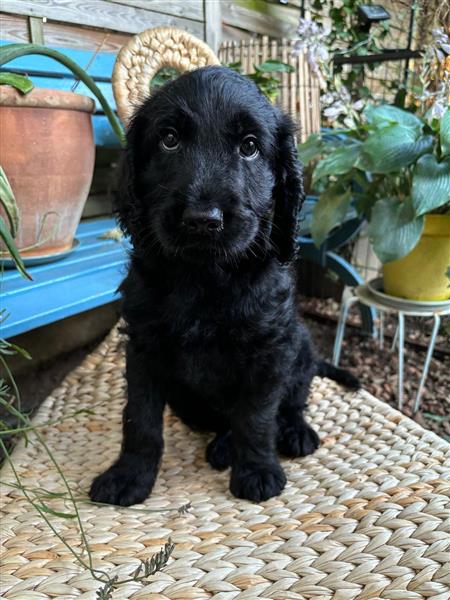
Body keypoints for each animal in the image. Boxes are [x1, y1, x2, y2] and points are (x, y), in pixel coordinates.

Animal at [89, 65, 358, 506]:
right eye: (169, 139)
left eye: (249, 147)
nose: (203, 220)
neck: (206, 276)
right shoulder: (144, 347)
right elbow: (140, 419)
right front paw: (129, 475)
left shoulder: (269, 351)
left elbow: (257, 416)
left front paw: (258, 471)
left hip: (300, 348)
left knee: (293, 402)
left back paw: (291, 434)